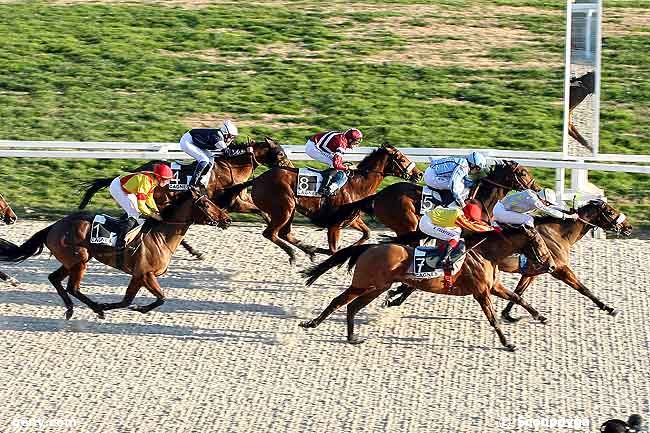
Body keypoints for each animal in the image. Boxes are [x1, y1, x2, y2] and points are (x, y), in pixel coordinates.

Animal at [0, 188, 232, 318]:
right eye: (205, 203)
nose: (227, 219)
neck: (160, 237)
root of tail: (53, 226)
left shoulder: (138, 275)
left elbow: (129, 300)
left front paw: (131, 307)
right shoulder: (145, 274)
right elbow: (160, 298)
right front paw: (125, 307)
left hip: (72, 261)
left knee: (54, 279)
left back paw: (71, 309)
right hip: (79, 261)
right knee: (72, 287)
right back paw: (96, 308)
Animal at [77, 137, 290, 258]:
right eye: (280, 153)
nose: (289, 167)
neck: (232, 168)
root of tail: (136, 171)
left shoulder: (239, 201)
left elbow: (263, 212)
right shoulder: (231, 202)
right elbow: (260, 211)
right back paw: (194, 251)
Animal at [219, 143, 420, 264]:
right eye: (402, 159)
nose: (418, 174)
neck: (356, 186)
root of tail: (258, 179)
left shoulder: (351, 219)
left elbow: (367, 233)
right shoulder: (334, 225)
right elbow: (333, 250)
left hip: (289, 210)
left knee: (284, 233)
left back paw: (309, 250)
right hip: (284, 207)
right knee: (271, 233)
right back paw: (294, 253)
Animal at [298, 228, 548, 350]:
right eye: (538, 242)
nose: (549, 263)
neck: (484, 253)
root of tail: (369, 248)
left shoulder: (493, 286)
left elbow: (518, 297)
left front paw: (540, 316)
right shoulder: (481, 292)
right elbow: (493, 319)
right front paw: (508, 344)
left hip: (372, 286)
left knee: (347, 305)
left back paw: (347, 336)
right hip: (368, 284)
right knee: (343, 303)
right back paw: (319, 326)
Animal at [496, 199, 628, 320]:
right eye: (610, 212)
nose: (629, 226)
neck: (557, 234)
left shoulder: (533, 272)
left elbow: (518, 291)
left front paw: (506, 314)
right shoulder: (560, 269)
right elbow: (583, 289)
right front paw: (609, 308)